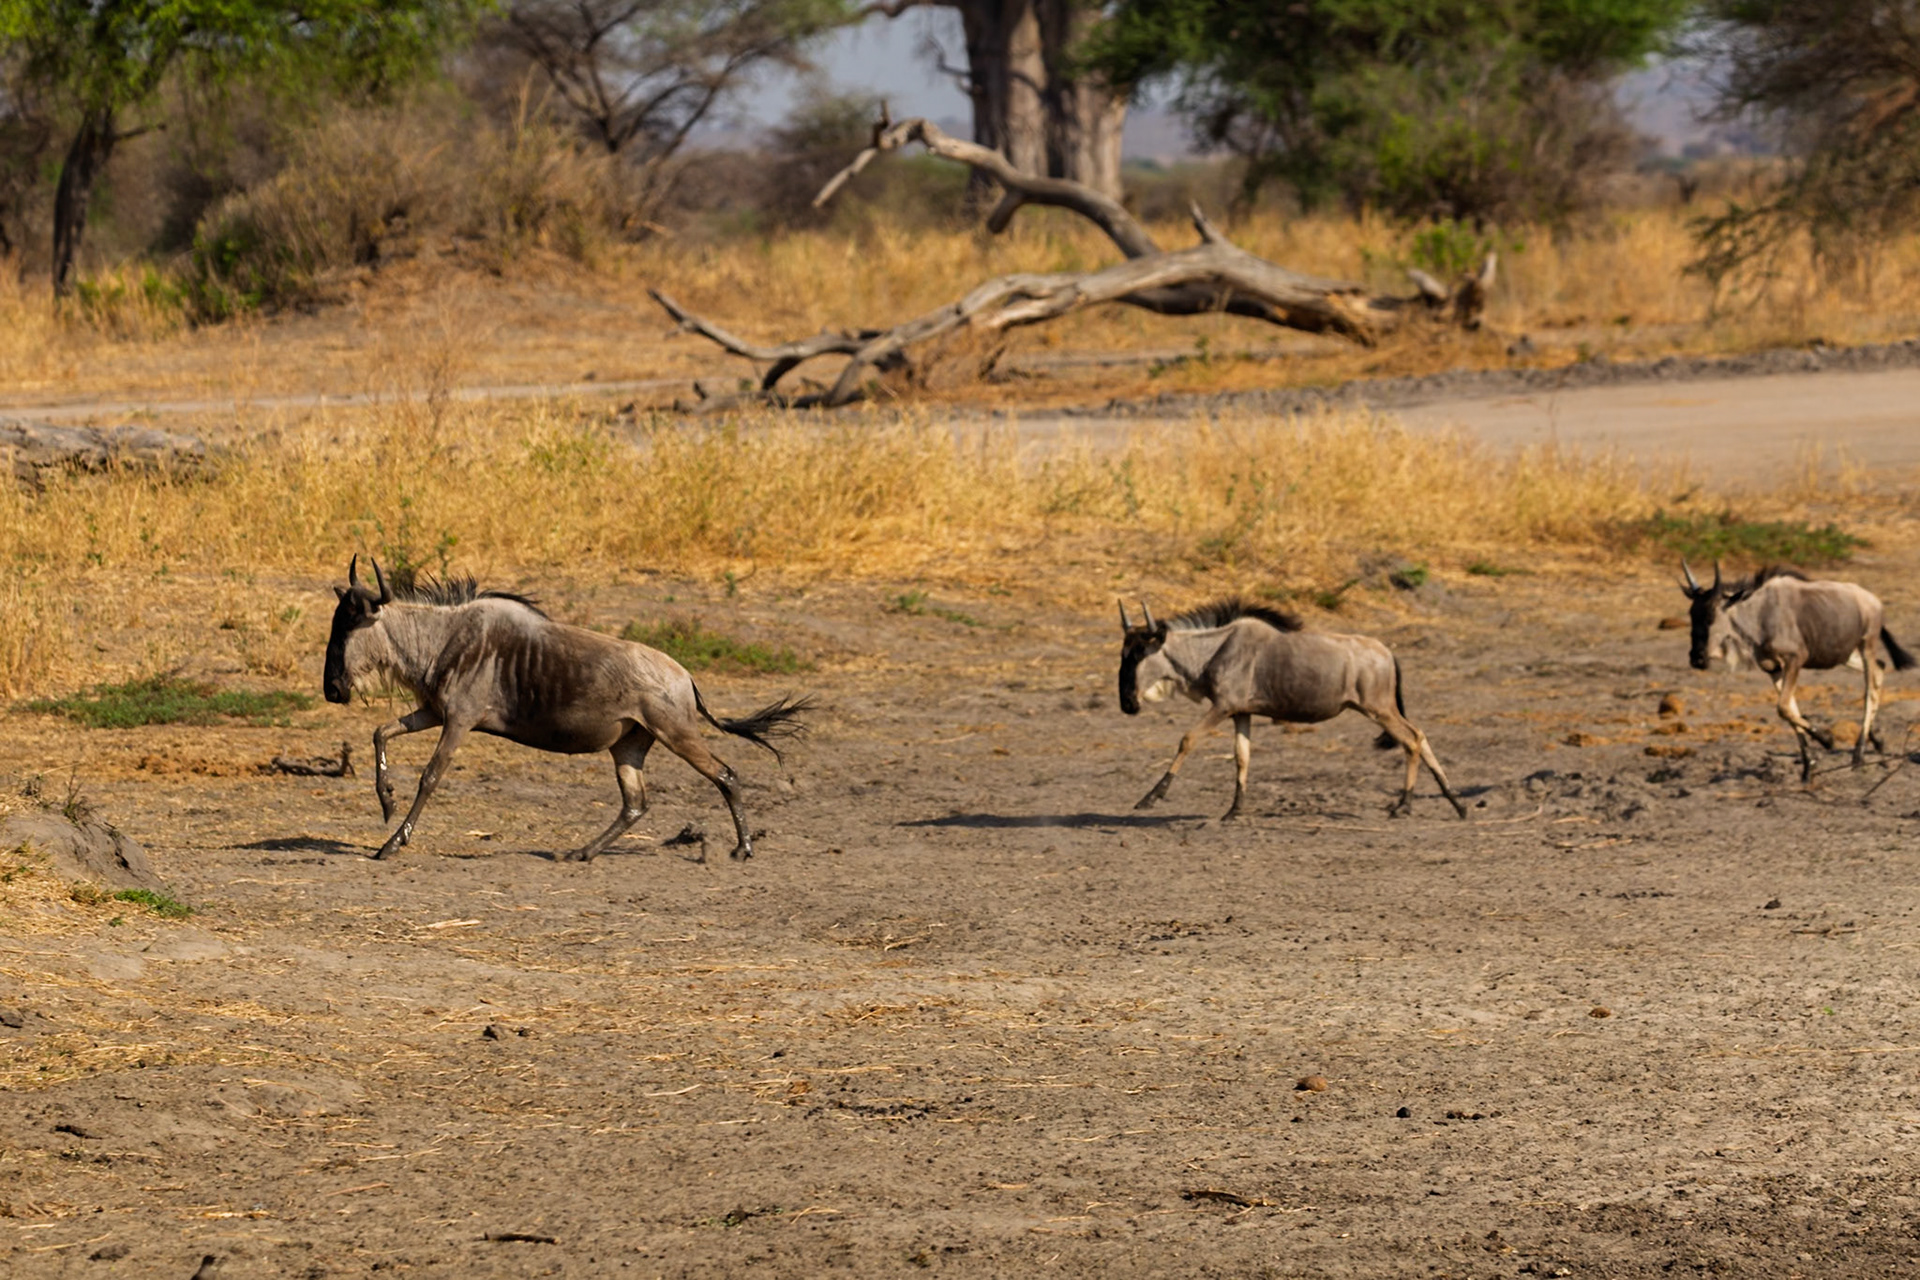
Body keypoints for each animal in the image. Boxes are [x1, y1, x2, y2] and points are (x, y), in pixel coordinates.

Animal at [323, 557, 809, 861]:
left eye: (348, 627)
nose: (332, 690)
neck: (443, 639)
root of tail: (685, 677)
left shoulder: (458, 720)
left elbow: (430, 777)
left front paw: (392, 843)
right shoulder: (434, 712)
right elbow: (381, 732)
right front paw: (386, 801)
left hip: (677, 734)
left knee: (725, 774)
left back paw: (743, 849)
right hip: (630, 744)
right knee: (635, 803)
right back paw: (581, 852)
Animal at [1117, 598, 1467, 821]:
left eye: (1140, 654)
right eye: (1123, 653)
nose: (1127, 704)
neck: (1213, 650)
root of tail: (1387, 652)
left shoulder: (1222, 707)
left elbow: (1187, 740)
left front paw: (1151, 797)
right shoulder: (1241, 712)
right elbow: (1242, 757)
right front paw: (1234, 810)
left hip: (1378, 709)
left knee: (1411, 740)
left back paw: (1403, 806)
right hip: (1384, 710)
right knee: (1420, 735)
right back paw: (1457, 804)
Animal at [1680, 561, 1915, 780]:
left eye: (1711, 615)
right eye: (1691, 614)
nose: (1697, 659)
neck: (1760, 614)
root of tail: (1874, 601)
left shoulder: (1795, 660)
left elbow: (1783, 708)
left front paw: (1827, 739)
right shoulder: (1773, 667)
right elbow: (1790, 710)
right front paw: (1809, 767)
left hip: (1866, 646)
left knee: (1870, 685)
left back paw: (1859, 754)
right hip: (1846, 656)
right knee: (1880, 668)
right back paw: (1877, 740)